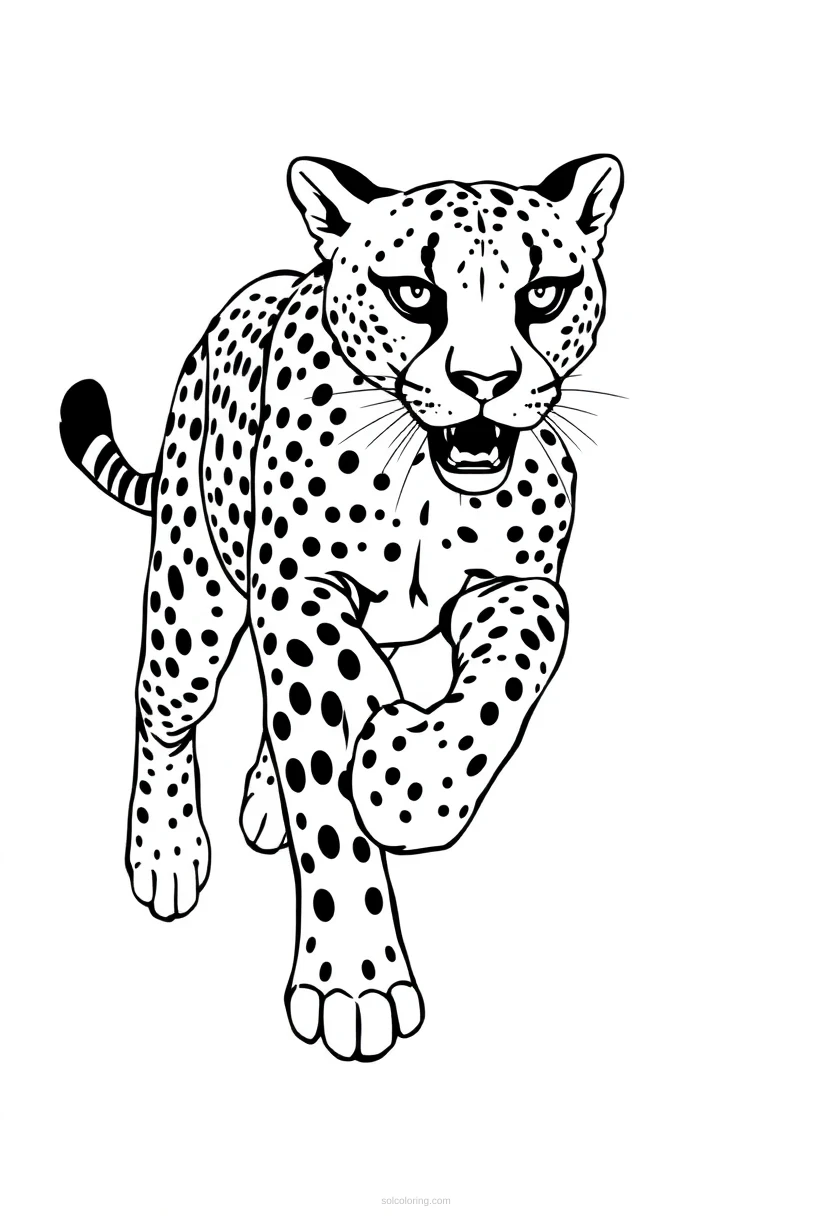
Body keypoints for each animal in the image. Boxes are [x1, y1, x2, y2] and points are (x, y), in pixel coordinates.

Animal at [60, 154, 624, 1061]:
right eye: (414, 292)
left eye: (542, 293)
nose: (485, 384)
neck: (425, 473)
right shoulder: (298, 595)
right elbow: (328, 789)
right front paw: (354, 980)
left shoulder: (510, 583)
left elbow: (529, 642)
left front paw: (411, 778)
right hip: (194, 589)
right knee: (164, 706)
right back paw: (167, 849)